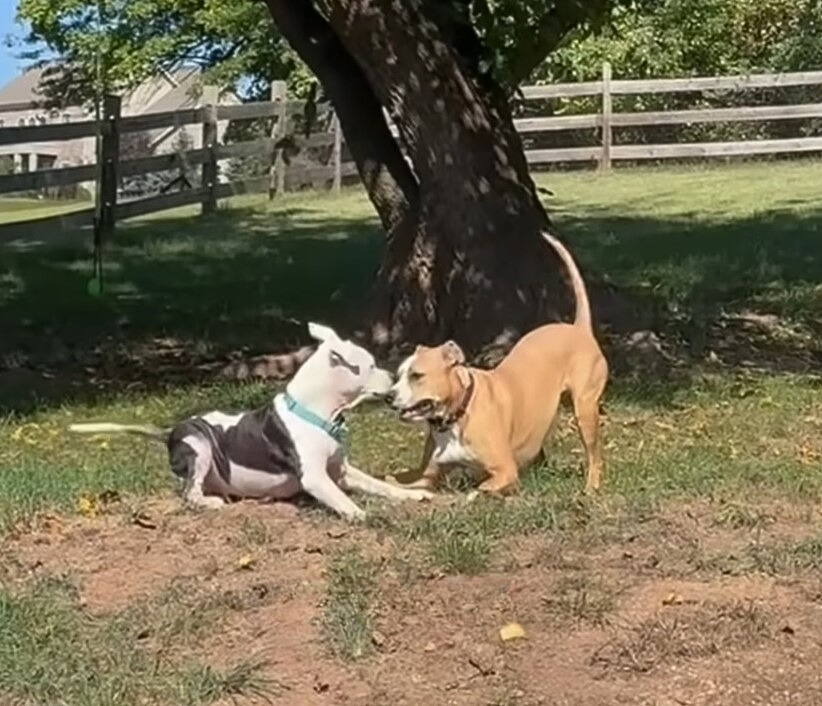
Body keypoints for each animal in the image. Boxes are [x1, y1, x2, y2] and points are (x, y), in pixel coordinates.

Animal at [70, 324, 432, 516]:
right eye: (368, 366)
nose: (393, 379)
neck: (317, 414)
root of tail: (171, 430)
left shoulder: (341, 470)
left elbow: (380, 485)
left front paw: (410, 495)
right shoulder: (316, 478)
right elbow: (343, 501)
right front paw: (361, 514)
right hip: (199, 444)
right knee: (189, 493)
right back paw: (211, 502)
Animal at [390, 232, 608, 496]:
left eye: (417, 375)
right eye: (399, 375)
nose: (388, 397)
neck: (458, 413)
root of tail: (579, 328)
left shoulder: (505, 471)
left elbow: (479, 488)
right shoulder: (428, 476)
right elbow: (400, 480)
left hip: (585, 409)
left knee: (594, 455)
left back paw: (591, 486)